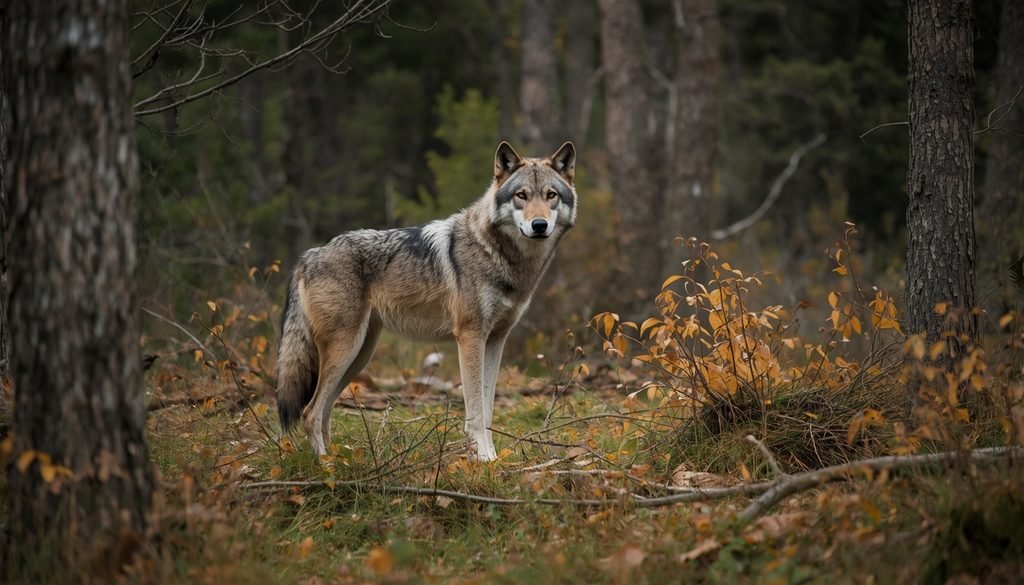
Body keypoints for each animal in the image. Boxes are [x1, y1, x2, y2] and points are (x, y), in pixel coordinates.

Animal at [276, 142, 577, 461]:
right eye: (521, 195)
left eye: (551, 195)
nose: (539, 225)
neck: (500, 255)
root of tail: (308, 255)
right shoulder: (470, 337)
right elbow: (475, 412)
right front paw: (483, 459)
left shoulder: (496, 340)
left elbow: (488, 409)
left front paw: (492, 458)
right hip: (346, 350)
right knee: (310, 412)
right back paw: (325, 464)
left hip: (358, 356)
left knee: (325, 412)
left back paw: (341, 460)